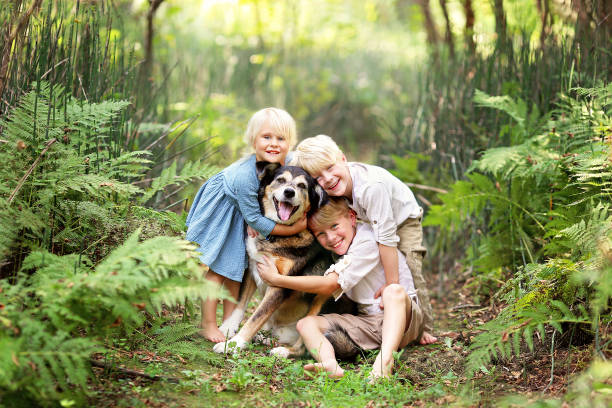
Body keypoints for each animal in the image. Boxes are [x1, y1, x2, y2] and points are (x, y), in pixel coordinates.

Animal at [214, 163, 358, 356]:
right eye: (281, 180)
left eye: (302, 186)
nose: (289, 192)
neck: (276, 236)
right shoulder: (253, 269)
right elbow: (240, 306)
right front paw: (228, 328)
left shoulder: (278, 285)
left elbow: (255, 317)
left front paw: (234, 344)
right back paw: (265, 338)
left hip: (322, 300)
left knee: (304, 348)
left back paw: (283, 351)